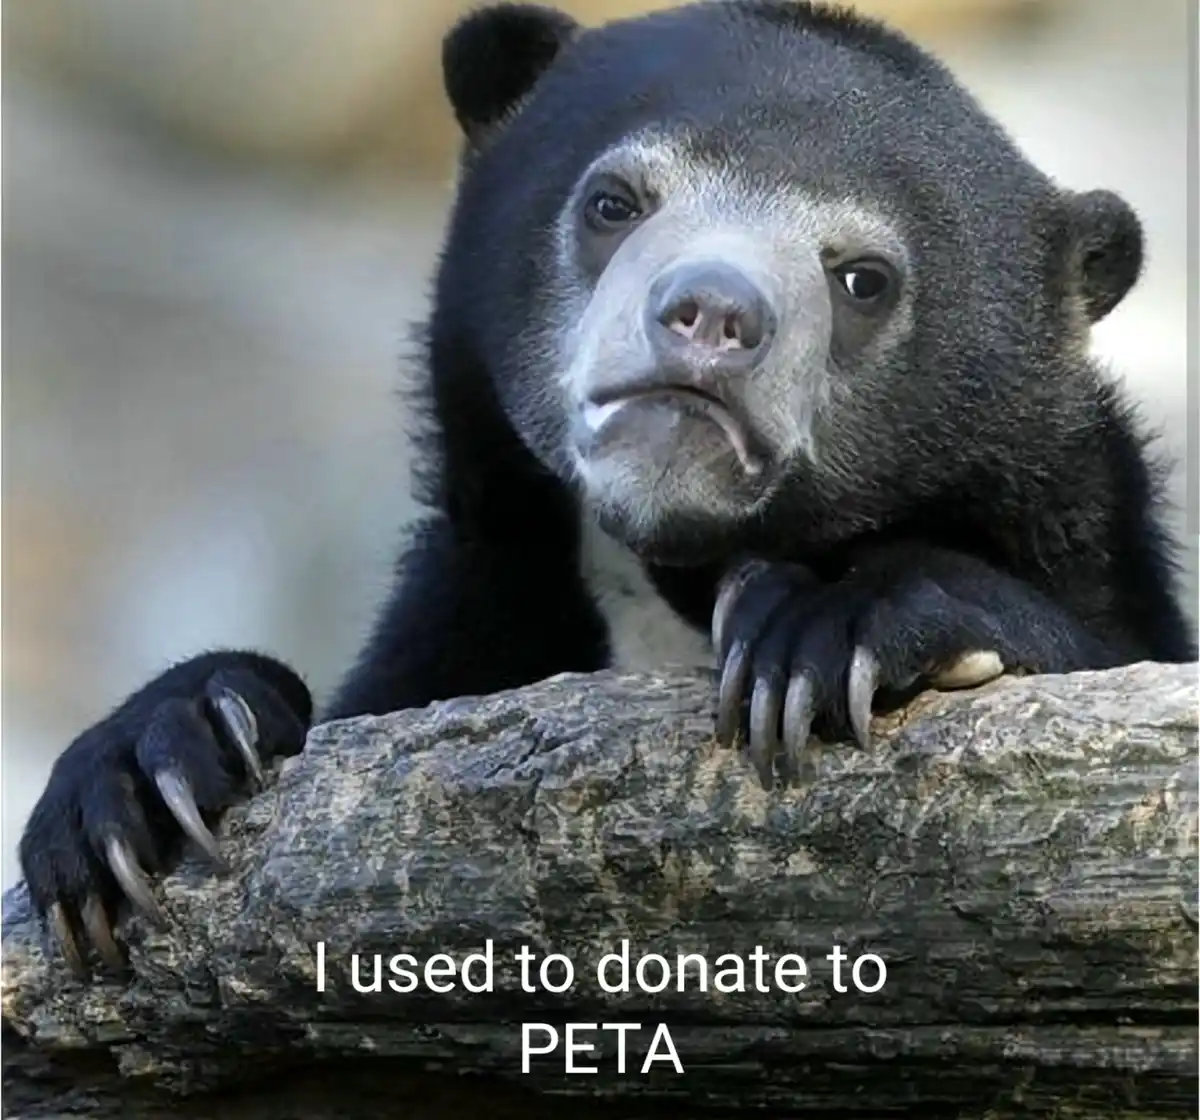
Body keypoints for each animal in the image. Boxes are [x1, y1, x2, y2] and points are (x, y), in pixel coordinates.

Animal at [18, 0, 1195, 977]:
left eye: (864, 278)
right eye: (614, 201)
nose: (712, 314)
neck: (668, 576)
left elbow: (1102, 641)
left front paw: (822, 628)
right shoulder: (486, 599)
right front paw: (147, 772)